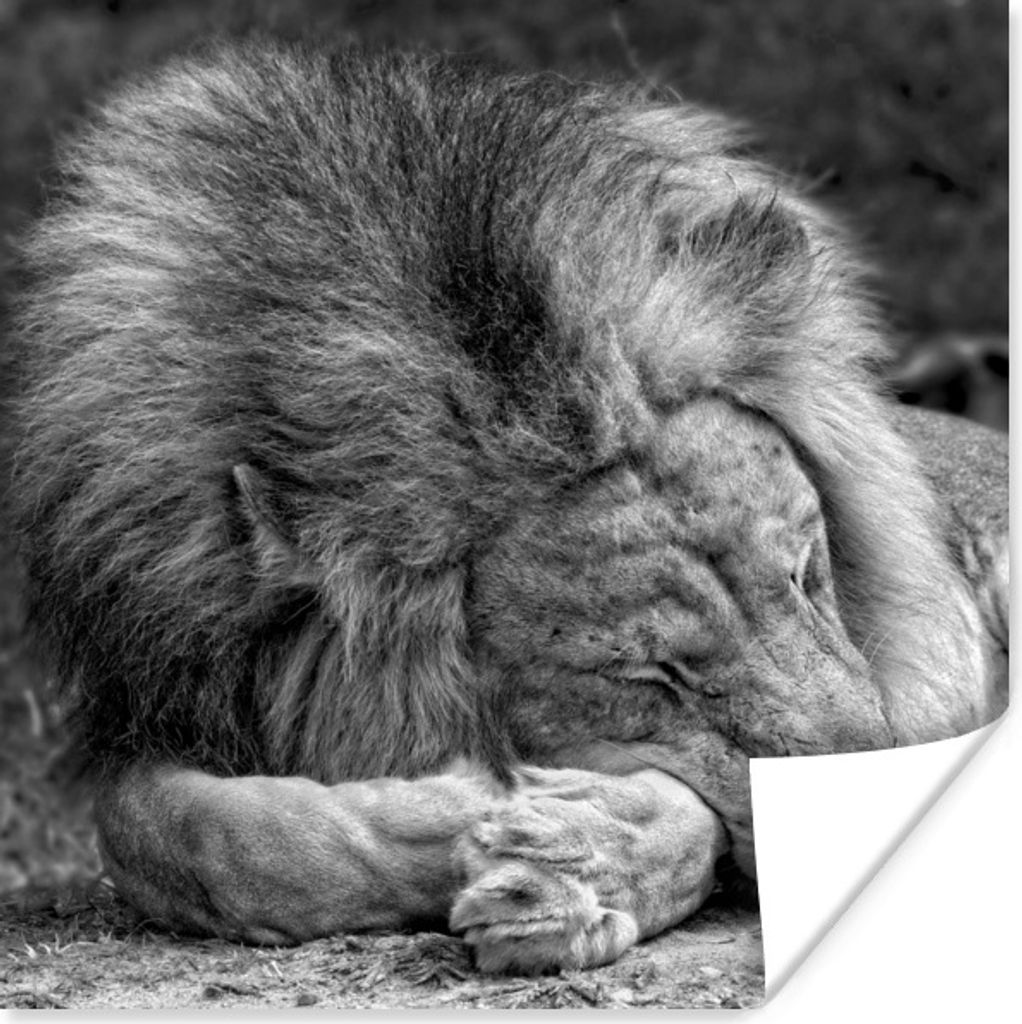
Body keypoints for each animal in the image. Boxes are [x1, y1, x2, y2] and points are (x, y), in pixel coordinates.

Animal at [8, 38, 1007, 974]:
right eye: (646, 677)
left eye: (805, 576)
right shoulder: (165, 701)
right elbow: (181, 838)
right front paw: (457, 810)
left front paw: (582, 857)